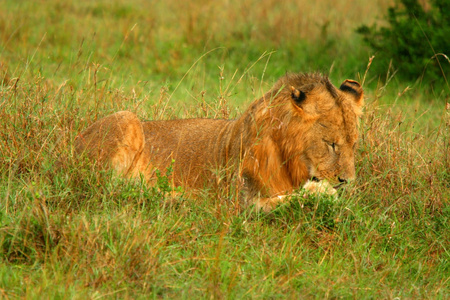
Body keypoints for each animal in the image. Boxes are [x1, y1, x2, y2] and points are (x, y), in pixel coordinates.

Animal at [75, 73, 364, 211]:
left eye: (353, 145)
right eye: (331, 144)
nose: (346, 181)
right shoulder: (240, 200)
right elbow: (287, 199)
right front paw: (322, 193)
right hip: (127, 118)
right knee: (110, 188)